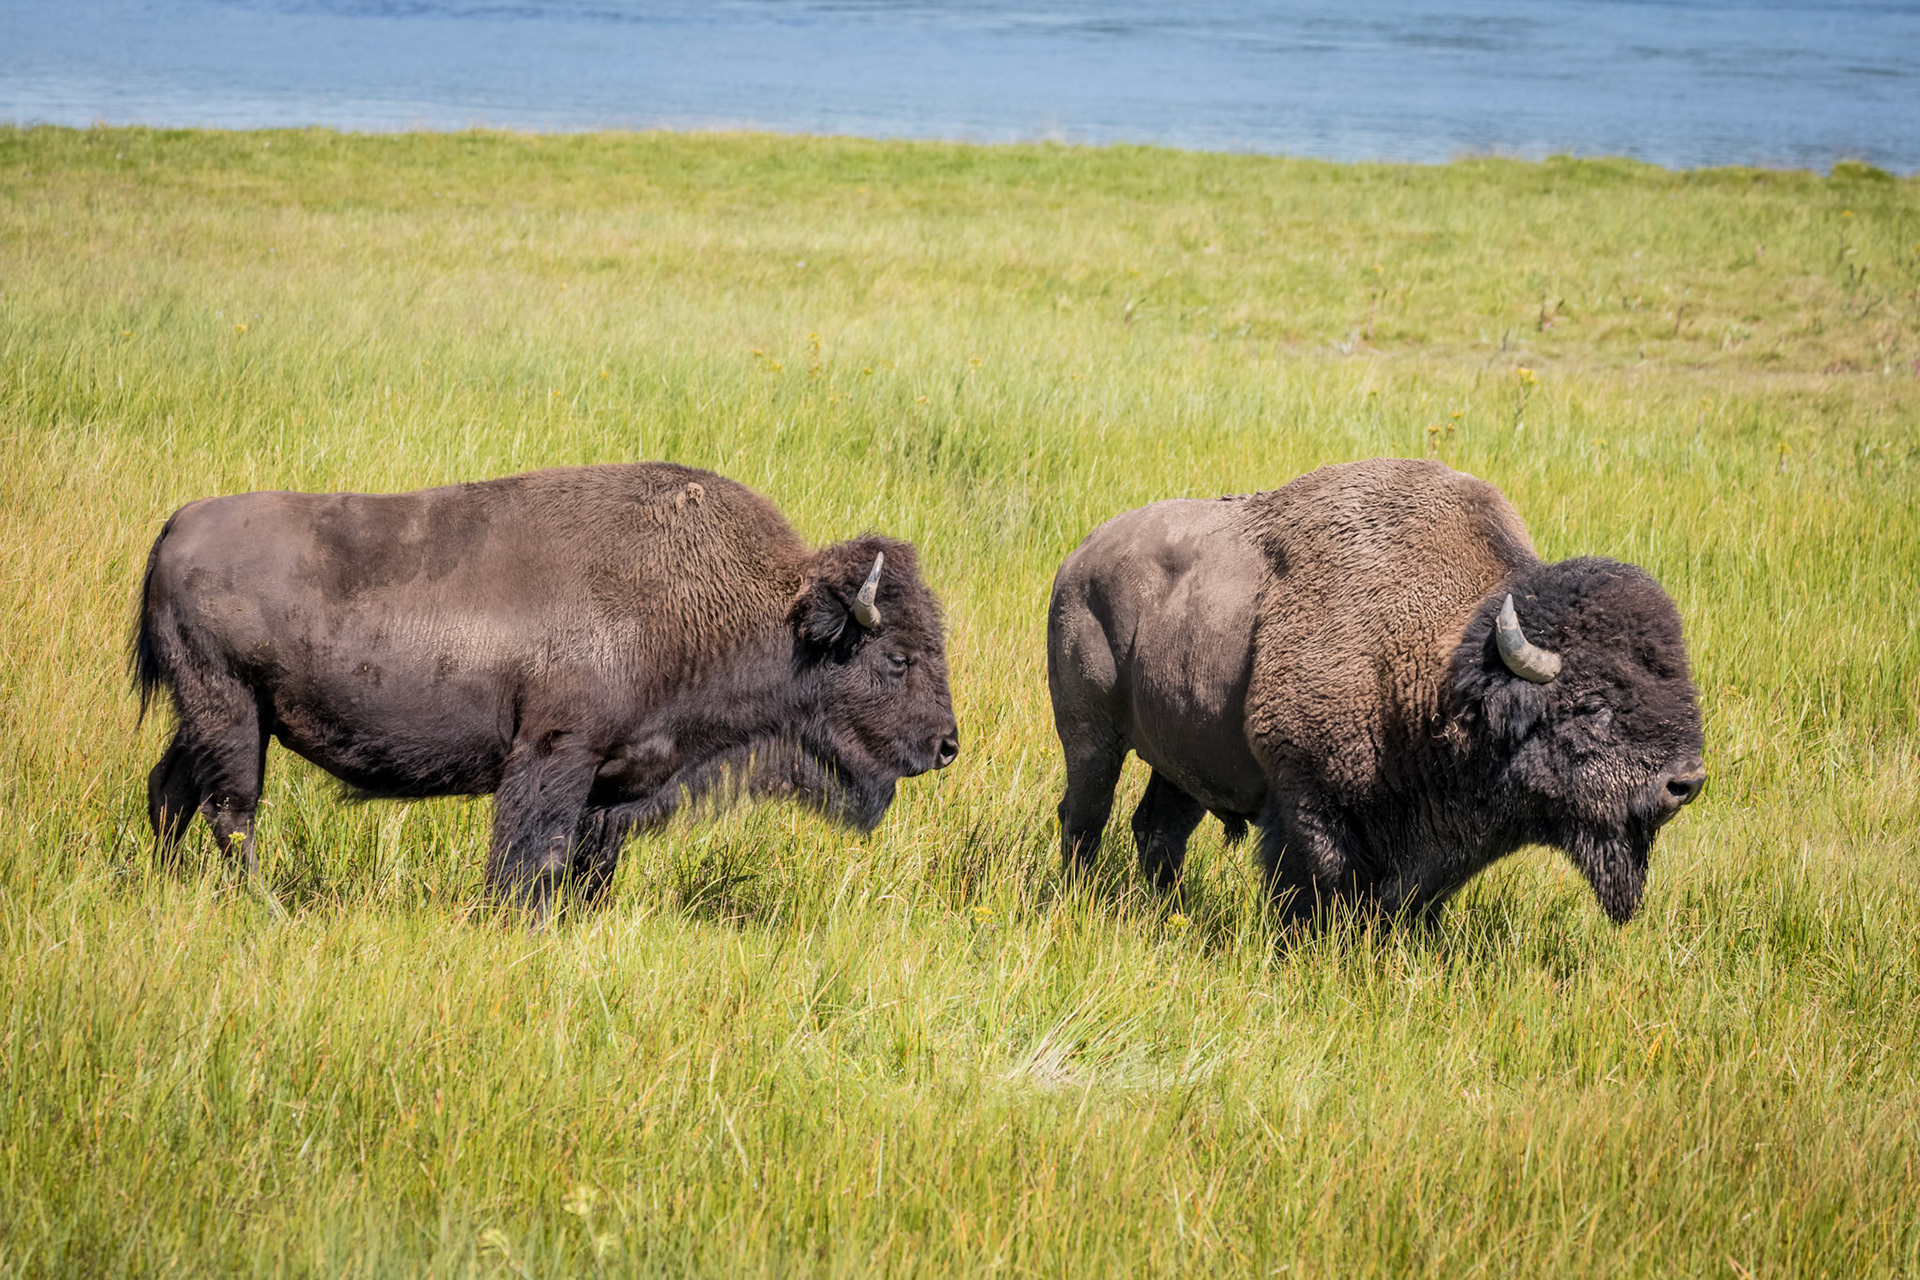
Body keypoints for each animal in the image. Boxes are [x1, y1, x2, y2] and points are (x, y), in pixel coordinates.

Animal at [134, 462, 959, 915]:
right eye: (896, 659)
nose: (948, 745)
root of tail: (178, 523)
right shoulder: (556, 755)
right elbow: (532, 856)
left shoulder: (613, 785)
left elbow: (589, 864)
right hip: (232, 709)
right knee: (231, 811)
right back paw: (269, 908)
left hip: (208, 716)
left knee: (171, 792)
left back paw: (168, 885)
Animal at [1047, 458, 1704, 924]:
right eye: (1590, 705)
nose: (1686, 782)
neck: (1444, 662)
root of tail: (1080, 558)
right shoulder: (1308, 796)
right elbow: (1320, 884)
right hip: (1090, 738)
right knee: (1085, 816)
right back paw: (1082, 899)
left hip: (1182, 754)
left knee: (1159, 830)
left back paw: (1170, 912)